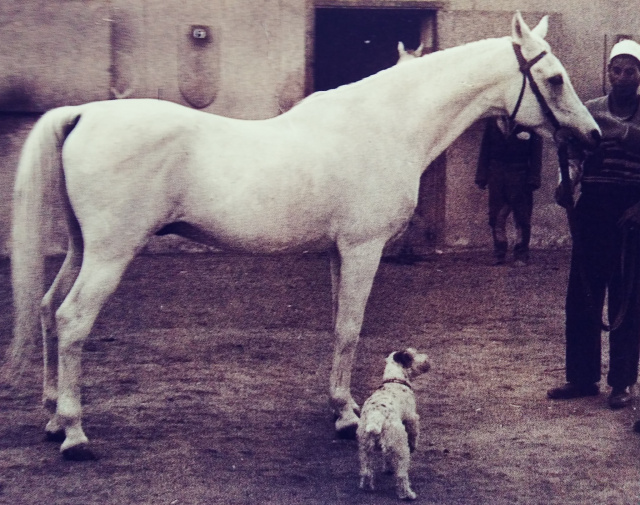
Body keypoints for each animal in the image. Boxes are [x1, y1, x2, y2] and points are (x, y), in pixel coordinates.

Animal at [2, 11, 600, 460]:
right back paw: (74, 432)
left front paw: (340, 408)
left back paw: (52, 418)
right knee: (71, 320)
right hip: (110, 254)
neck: (386, 124)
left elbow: (337, 327)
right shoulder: (362, 249)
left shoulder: (338, 252)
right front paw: (347, 418)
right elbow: (350, 329)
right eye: (553, 79)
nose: (592, 136)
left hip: (82, 248)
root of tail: (83, 114)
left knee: (47, 308)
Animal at [356, 346, 430, 500]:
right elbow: (414, 434)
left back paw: (368, 488)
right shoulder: (412, 418)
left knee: (366, 472)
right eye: (412, 354)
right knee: (401, 476)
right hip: (401, 449)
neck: (394, 380)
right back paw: (408, 494)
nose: (427, 358)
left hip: (365, 449)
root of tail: (376, 415)